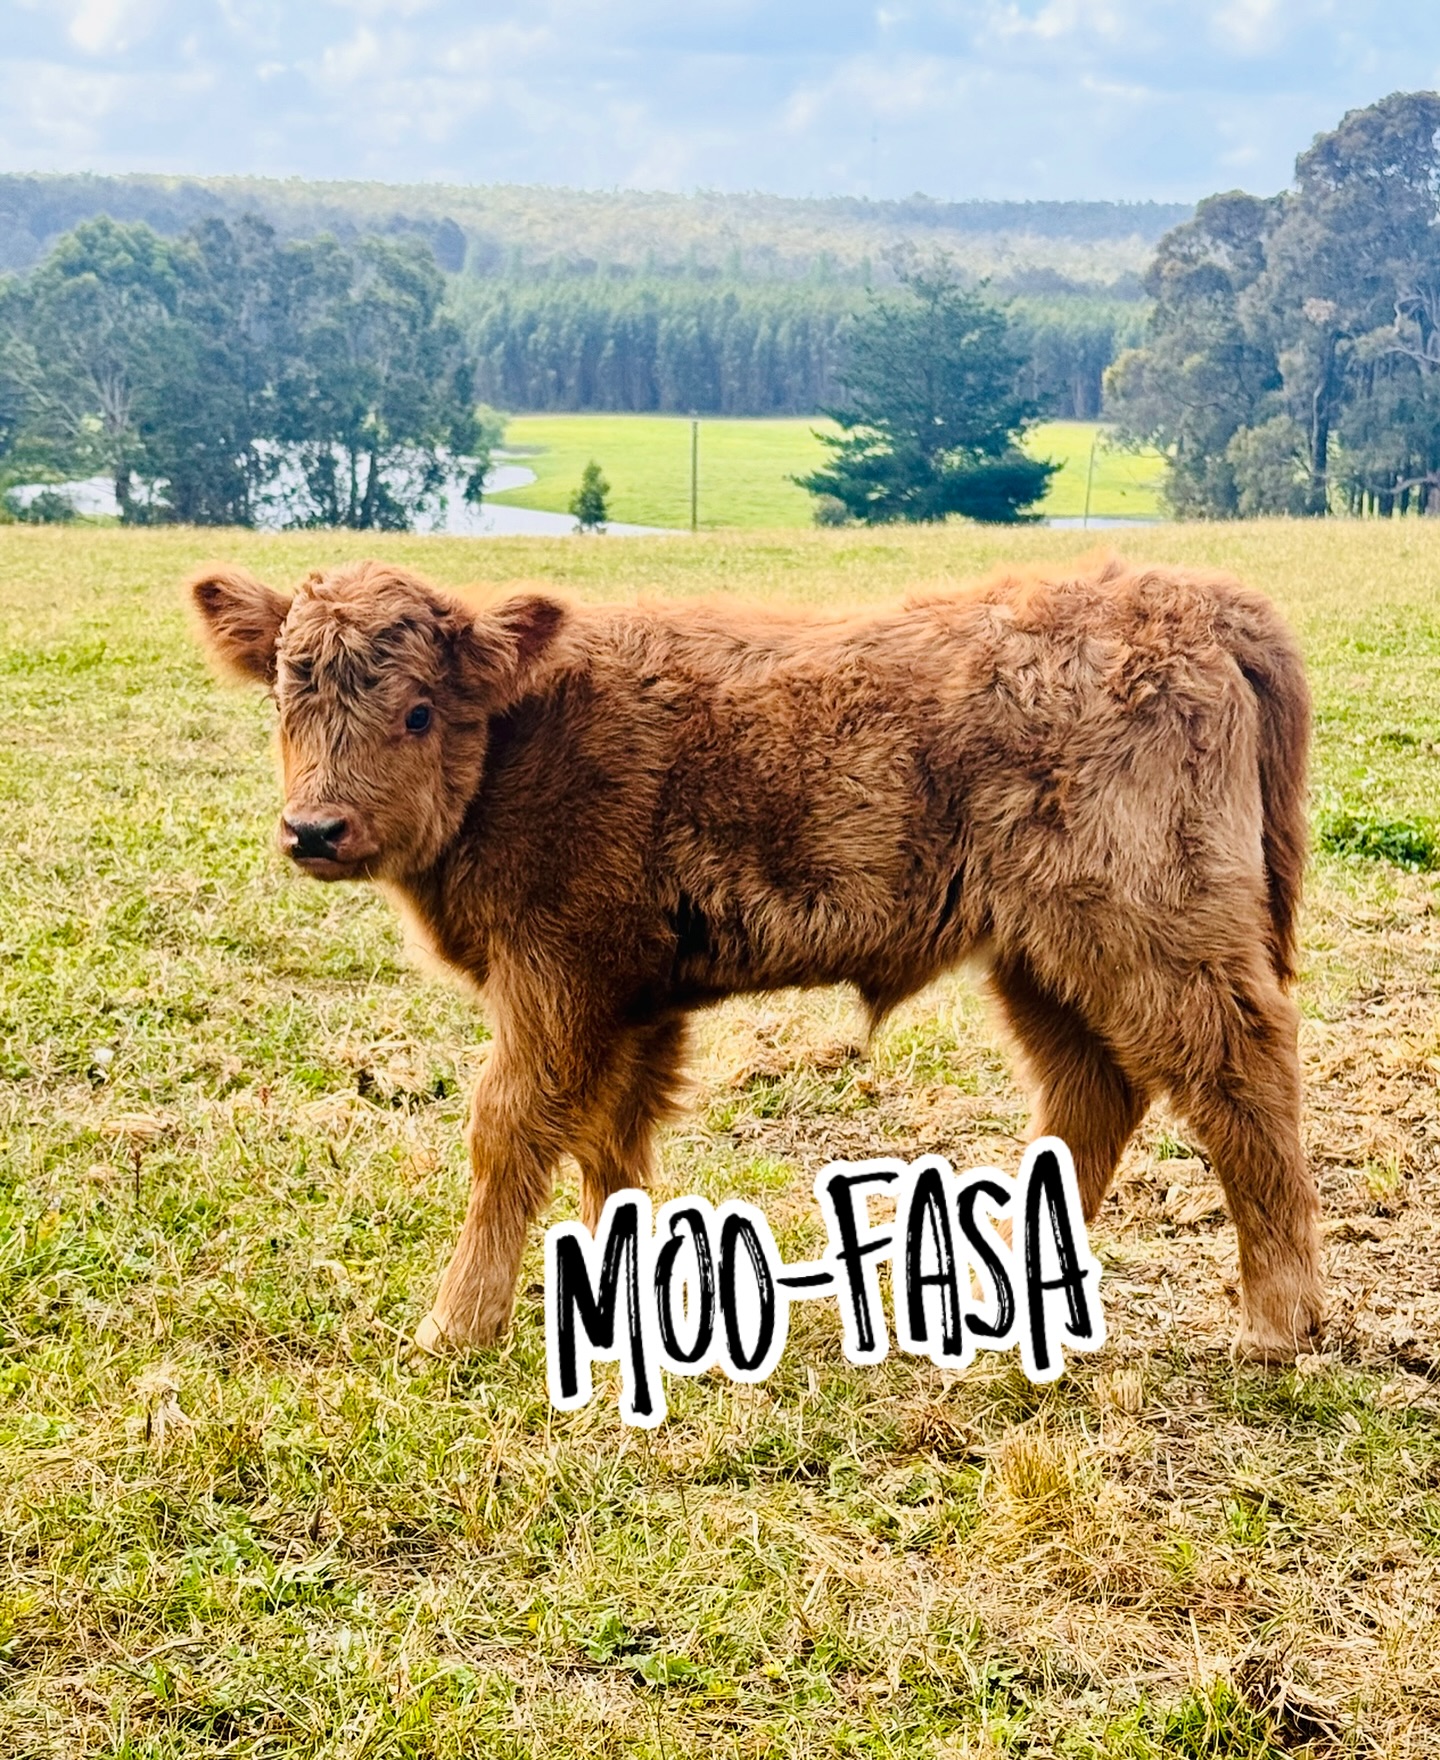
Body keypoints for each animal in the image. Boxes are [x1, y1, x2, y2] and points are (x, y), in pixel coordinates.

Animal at [188, 554, 1322, 1365]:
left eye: (418, 710)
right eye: (286, 701)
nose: (315, 829)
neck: (524, 733)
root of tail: (1192, 599)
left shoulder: (557, 977)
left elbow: (509, 1127)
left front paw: (454, 1324)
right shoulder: (633, 999)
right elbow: (612, 1142)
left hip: (1157, 938)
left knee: (1239, 1076)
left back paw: (1278, 1325)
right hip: (1041, 960)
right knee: (1094, 1094)